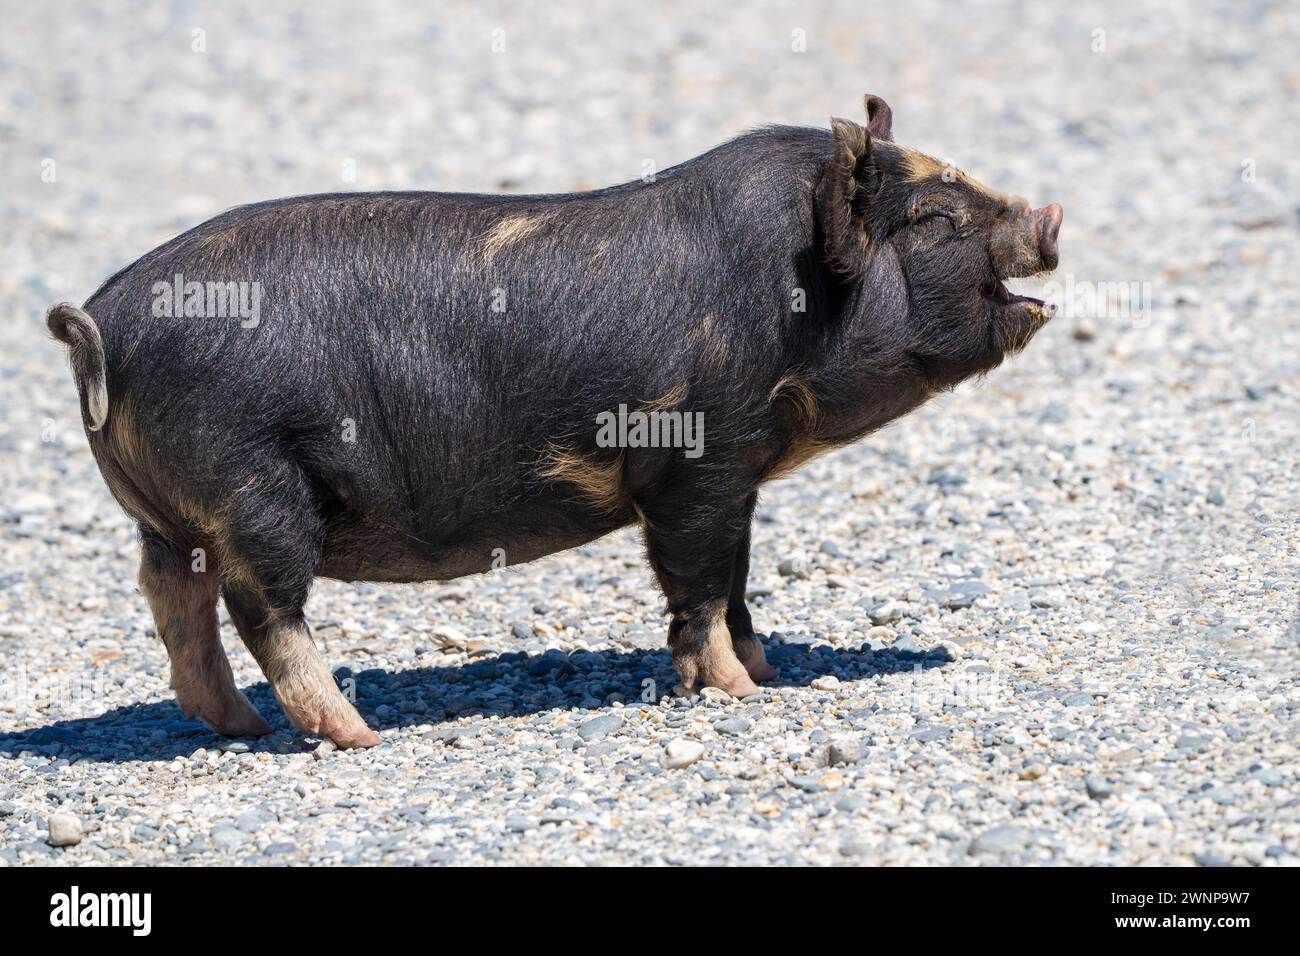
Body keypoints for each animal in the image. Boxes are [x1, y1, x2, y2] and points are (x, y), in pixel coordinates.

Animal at [48, 95, 1062, 748]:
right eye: (932, 219)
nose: (1050, 215)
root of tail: (100, 326)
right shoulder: (694, 458)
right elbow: (699, 584)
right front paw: (742, 693)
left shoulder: (736, 473)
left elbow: (735, 581)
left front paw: (769, 672)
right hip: (252, 484)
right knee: (262, 608)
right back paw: (358, 734)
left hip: (172, 511)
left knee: (171, 595)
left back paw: (236, 725)